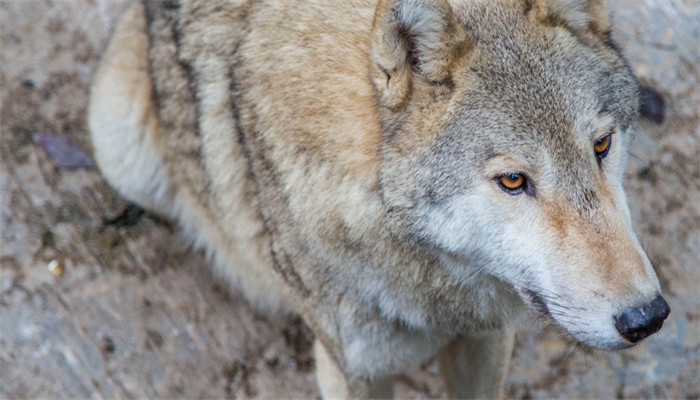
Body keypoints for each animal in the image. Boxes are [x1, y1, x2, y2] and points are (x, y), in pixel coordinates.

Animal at [90, 0, 668, 396]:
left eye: (602, 145)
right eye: (512, 181)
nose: (647, 317)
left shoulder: (487, 338)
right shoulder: (353, 370)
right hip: (121, 144)